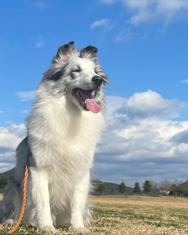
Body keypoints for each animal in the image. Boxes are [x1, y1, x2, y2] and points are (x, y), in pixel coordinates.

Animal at [0, 40, 108, 233]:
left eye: (95, 71)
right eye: (76, 70)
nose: (98, 80)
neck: (70, 114)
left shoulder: (81, 171)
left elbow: (77, 203)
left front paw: (78, 227)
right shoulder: (38, 168)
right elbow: (43, 203)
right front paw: (46, 226)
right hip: (14, 187)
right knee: (16, 211)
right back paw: (12, 222)